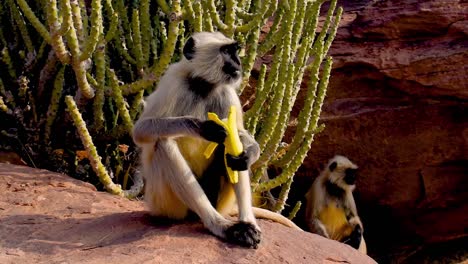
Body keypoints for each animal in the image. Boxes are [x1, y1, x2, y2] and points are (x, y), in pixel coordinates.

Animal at [132, 32, 300, 249]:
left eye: (235, 51)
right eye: (227, 51)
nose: (238, 62)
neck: (203, 85)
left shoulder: (226, 93)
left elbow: (240, 136)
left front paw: (248, 155)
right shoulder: (172, 82)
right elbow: (141, 130)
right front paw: (203, 127)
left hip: (219, 201)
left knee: (228, 149)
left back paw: (247, 225)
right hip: (162, 204)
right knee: (163, 143)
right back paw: (219, 225)